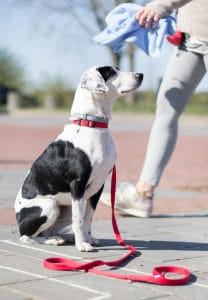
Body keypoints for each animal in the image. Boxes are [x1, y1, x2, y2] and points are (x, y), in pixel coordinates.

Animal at [15, 65, 143, 251]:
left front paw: (88, 238)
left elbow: (88, 217)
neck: (92, 125)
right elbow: (80, 220)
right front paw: (82, 244)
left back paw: (63, 237)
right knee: (27, 236)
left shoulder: (98, 186)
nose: (140, 75)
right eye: (110, 72)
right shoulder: (78, 184)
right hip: (50, 206)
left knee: (46, 231)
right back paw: (54, 240)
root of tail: (18, 219)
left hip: (65, 208)